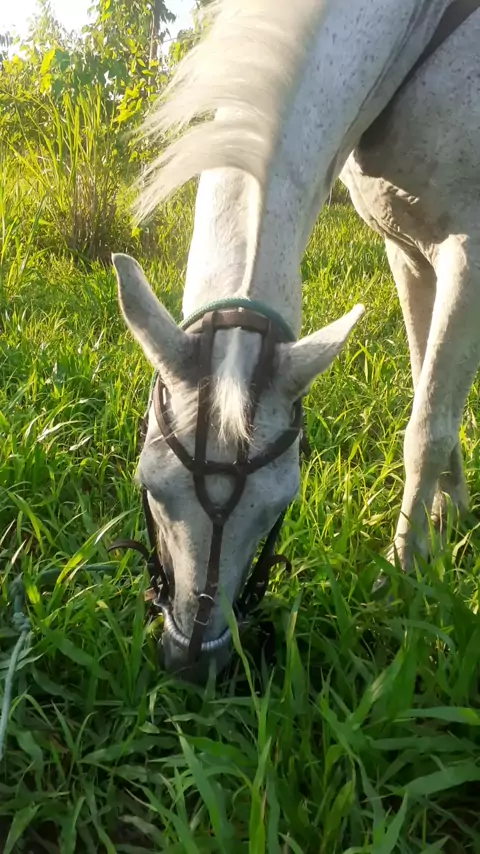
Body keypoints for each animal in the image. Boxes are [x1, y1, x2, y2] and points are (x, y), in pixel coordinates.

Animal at [112, 0, 480, 681]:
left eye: (279, 502)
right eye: (151, 486)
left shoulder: (471, 250)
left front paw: (402, 580)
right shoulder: (412, 249)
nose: (192, 664)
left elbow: (427, 428)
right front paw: (451, 524)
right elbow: (434, 393)